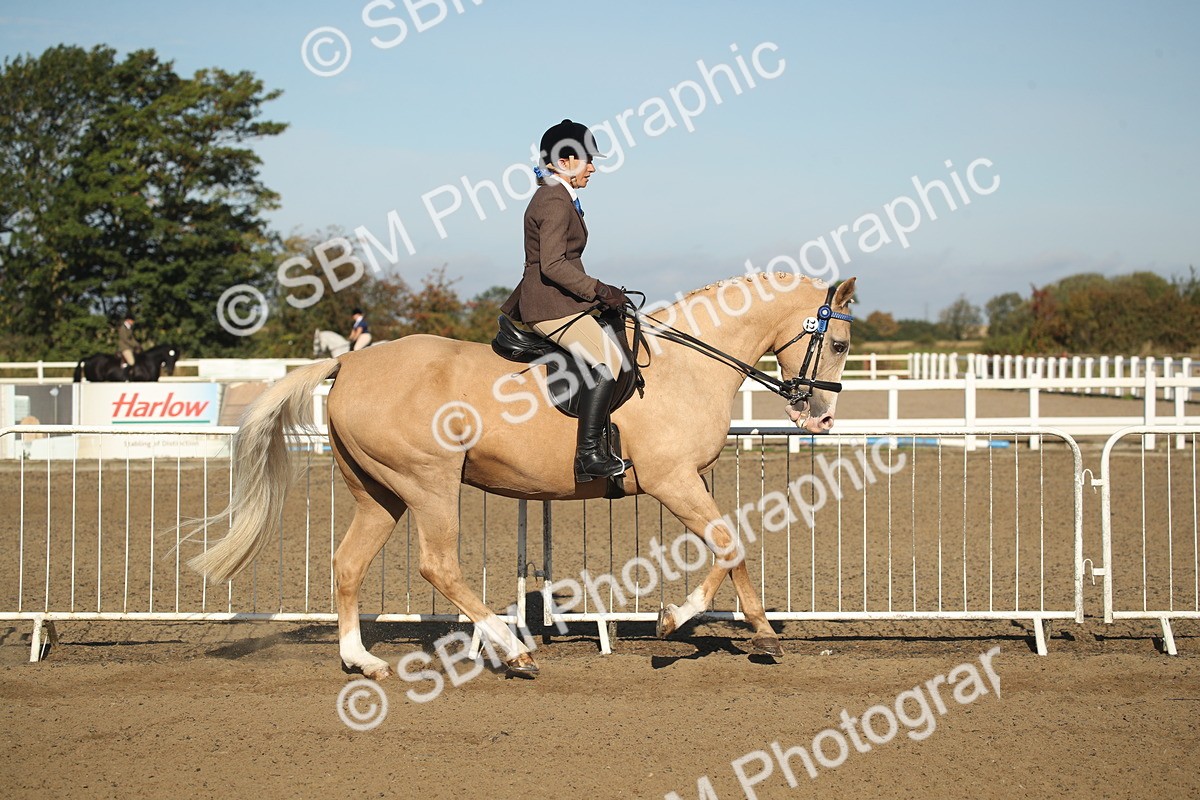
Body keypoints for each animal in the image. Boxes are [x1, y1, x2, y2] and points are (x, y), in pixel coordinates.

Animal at [191, 273, 855, 680]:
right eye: (842, 343)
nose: (820, 417)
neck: (684, 365)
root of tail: (349, 363)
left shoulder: (692, 478)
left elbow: (727, 546)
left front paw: (712, 621)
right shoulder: (673, 480)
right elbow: (729, 544)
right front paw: (732, 628)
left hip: (378, 491)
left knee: (348, 564)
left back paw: (363, 662)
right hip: (428, 482)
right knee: (439, 565)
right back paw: (513, 652)